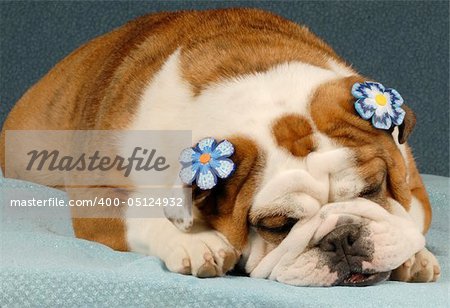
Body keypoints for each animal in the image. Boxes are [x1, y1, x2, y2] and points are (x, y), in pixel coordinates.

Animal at [0, 7, 440, 286]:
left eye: (373, 189)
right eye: (277, 226)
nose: (342, 237)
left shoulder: (412, 182)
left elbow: (410, 216)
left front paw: (414, 256)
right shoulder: (98, 197)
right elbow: (140, 213)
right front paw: (193, 241)